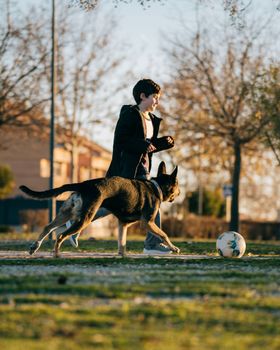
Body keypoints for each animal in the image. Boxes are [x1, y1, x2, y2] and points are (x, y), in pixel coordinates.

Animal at [20, 161, 182, 258]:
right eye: (178, 185)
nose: (180, 193)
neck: (156, 187)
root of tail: (83, 185)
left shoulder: (122, 224)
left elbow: (122, 242)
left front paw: (122, 255)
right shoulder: (148, 222)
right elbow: (164, 234)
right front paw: (174, 248)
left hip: (67, 213)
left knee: (48, 227)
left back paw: (35, 247)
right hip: (86, 218)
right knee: (60, 235)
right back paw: (56, 254)